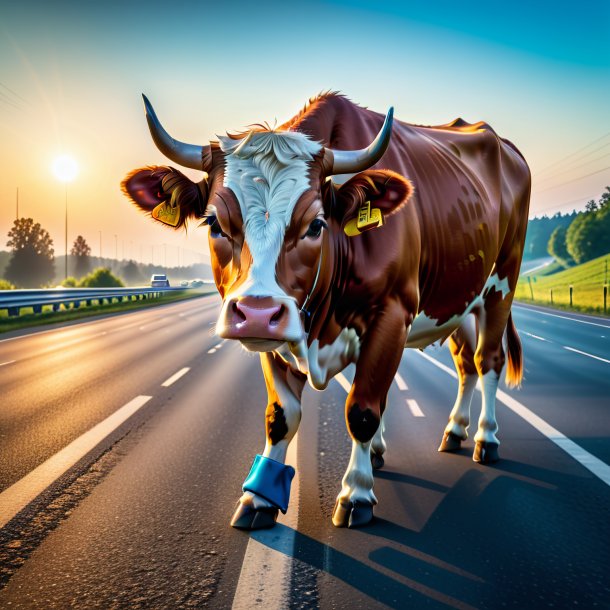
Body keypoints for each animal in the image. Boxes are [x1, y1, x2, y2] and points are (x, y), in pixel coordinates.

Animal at [122, 90, 528, 528]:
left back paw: (486, 438)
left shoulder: (393, 314)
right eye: (214, 223)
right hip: (458, 301)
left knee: (488, 361)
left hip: (501, 285)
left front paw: (357, 494)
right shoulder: (279, 334)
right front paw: (258, 499)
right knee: (465, 363)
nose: (257, 312)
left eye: (316, 225)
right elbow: (282, 414)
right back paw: (453, 432)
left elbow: (363, 409)